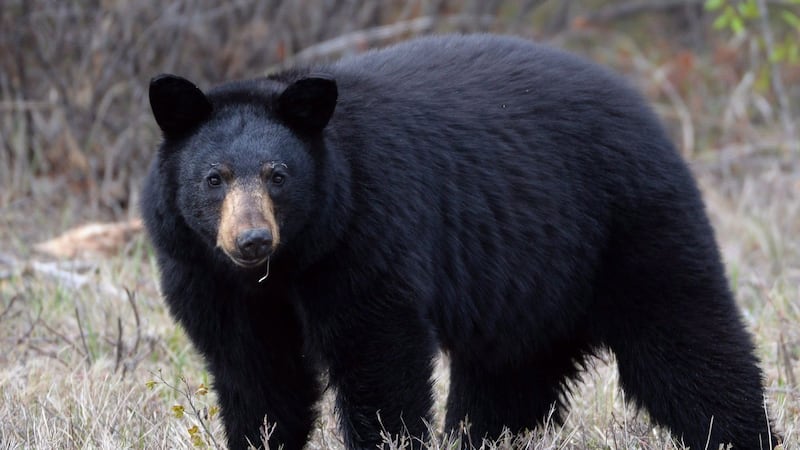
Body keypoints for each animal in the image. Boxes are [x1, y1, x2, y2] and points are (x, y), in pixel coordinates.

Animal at [141, 34, 776, 449]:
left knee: (687, 342)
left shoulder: (364, 235)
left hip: (630, 227)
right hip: (529, 286)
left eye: (279, 175)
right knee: (508, 380)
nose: (252, 239)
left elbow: (377, 354)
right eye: (214, 178)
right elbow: (256, 373)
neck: (288, 264)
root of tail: (645, 111)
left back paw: (741, 433)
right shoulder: (205, 275)